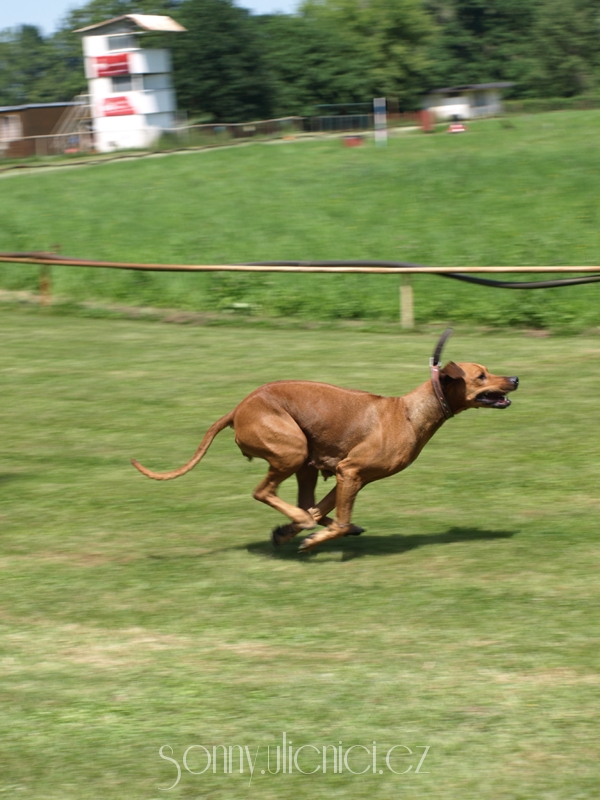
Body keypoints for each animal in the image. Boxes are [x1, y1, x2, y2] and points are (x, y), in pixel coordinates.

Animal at [132, 330, 518, 552]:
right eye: (481, 375)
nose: (515, 378)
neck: (410, 412)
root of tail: (238, 408)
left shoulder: (351, 477)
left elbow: (325, 511)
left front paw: (289, 533)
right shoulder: (351, 471)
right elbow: (335, 519)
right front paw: (309, 537)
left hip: (304, 460)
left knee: (304, 503)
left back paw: (298, 525)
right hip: (292, 450)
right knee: (264, 492)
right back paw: (302, 525)